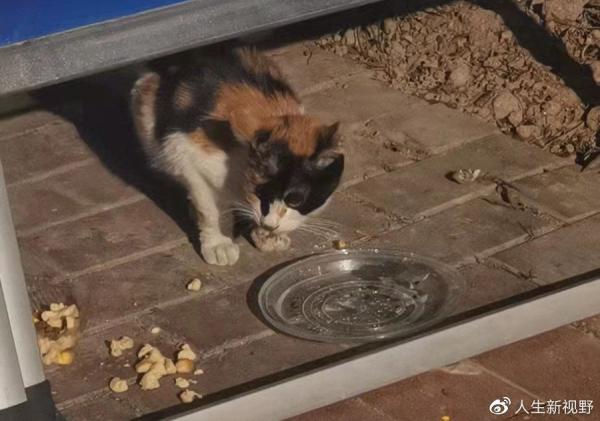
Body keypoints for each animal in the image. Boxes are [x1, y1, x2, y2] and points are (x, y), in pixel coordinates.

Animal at [130, 47, 344, 266]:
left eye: (295, 201)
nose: (269, 225)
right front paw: (217, 244)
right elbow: (208, 208)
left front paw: (266, 236)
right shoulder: (183, 150)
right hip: (145, 108)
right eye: (260, 192)